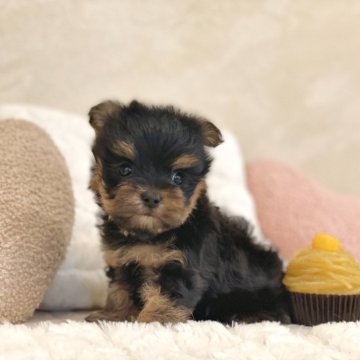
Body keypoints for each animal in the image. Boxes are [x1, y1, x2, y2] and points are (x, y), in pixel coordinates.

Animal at [84, 100, 290, 324]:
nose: (151, 197)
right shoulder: (122, 261)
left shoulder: (182, 265)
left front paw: (154, 321)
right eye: (125, 170)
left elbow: (167, 296)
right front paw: (113, 315)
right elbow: (119, 290)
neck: (149, 236)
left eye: (177, 178)